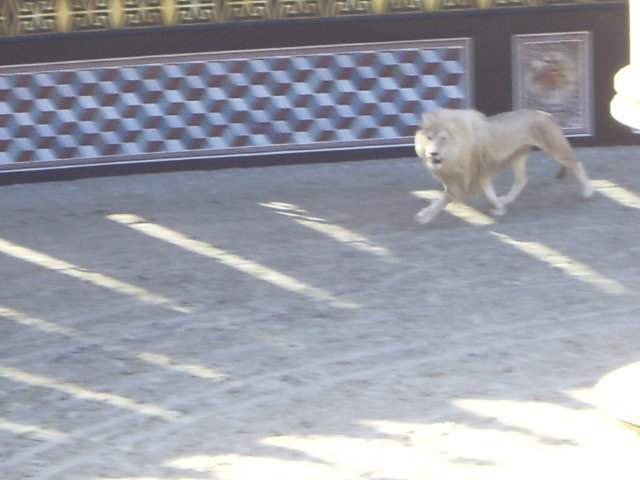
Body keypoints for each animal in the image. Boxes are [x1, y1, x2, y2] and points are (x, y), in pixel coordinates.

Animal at [412, 108, 592, 224]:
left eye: (443, 138)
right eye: (429, 138)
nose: (433, 154)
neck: (454, 151)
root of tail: (548, 115)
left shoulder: (464, 177)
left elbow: (444, 198)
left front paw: (424, 216)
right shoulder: (479, 173)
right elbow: (489, 192)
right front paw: (499, 208)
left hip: (555, 146)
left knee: (577, 164)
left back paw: (587, 192)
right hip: (517, 155)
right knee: (522, 179)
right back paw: (507, 199)